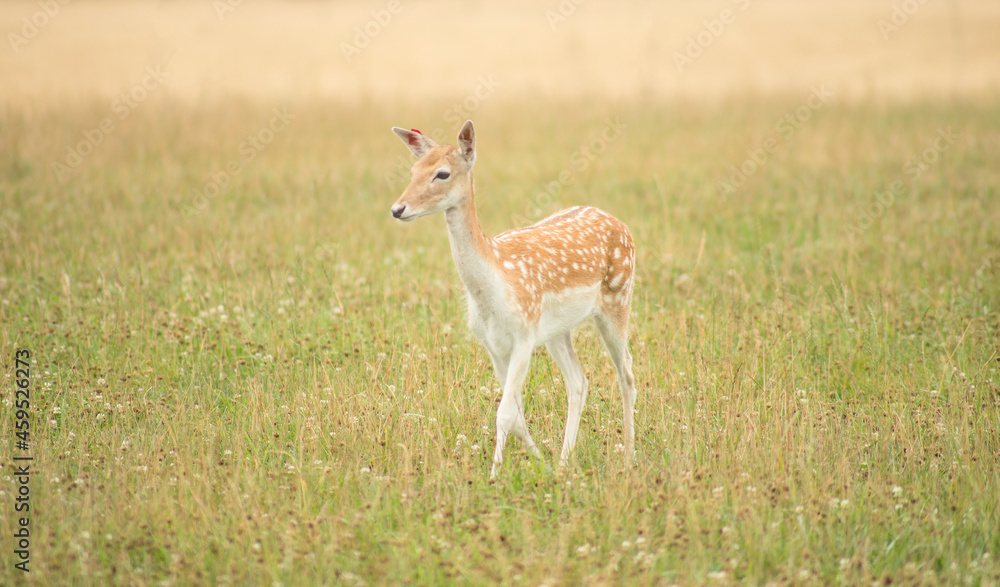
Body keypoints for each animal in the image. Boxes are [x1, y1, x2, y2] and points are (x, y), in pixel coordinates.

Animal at [390, 121, 636, 478]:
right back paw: (564, 462)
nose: (398, 209)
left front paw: (494, 475)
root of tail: (623, 225)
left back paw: (629, 457)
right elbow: (517, 415)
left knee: (626, 373)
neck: (494, 288)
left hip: (619, 298)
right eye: (412, 170)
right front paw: (541, 463)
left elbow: (505, 412)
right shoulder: (492, 344)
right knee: (578, 381)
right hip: (557, 331)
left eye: (442, 173)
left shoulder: (524, 335)